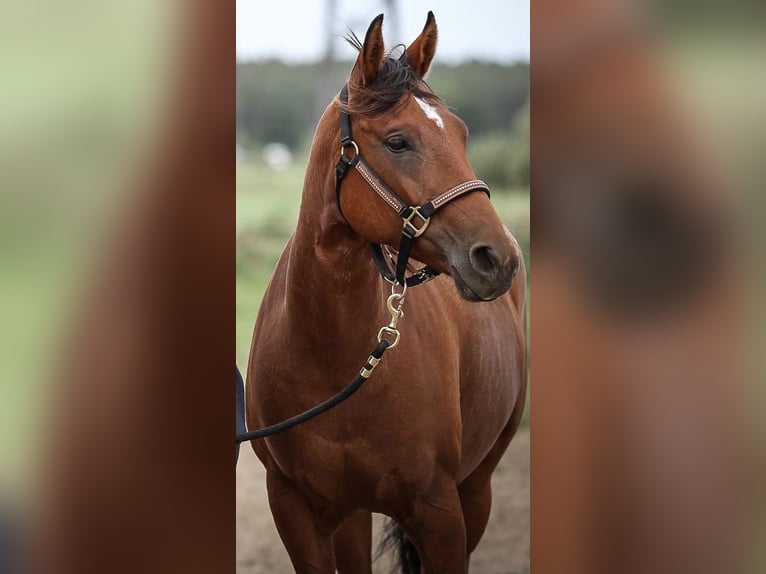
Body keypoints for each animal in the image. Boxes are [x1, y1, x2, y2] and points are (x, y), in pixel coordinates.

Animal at [245, 12, 526, 574]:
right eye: (398, 142)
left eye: (462, 135)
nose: (498, 257)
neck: (333, 358)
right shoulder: (294, 509)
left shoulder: (441, 513)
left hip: (479, 485)